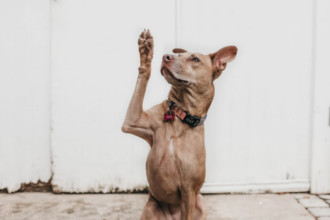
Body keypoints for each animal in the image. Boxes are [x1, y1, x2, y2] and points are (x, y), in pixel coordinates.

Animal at [122, 29, 237, 220]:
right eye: (178, 54)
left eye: (195, 59)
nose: (166, 56)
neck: (181, 115)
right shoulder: (132, 121)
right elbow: (143, 78)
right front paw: (146, 53)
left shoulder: (188, 190)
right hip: (150, 208)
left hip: (200, 202)